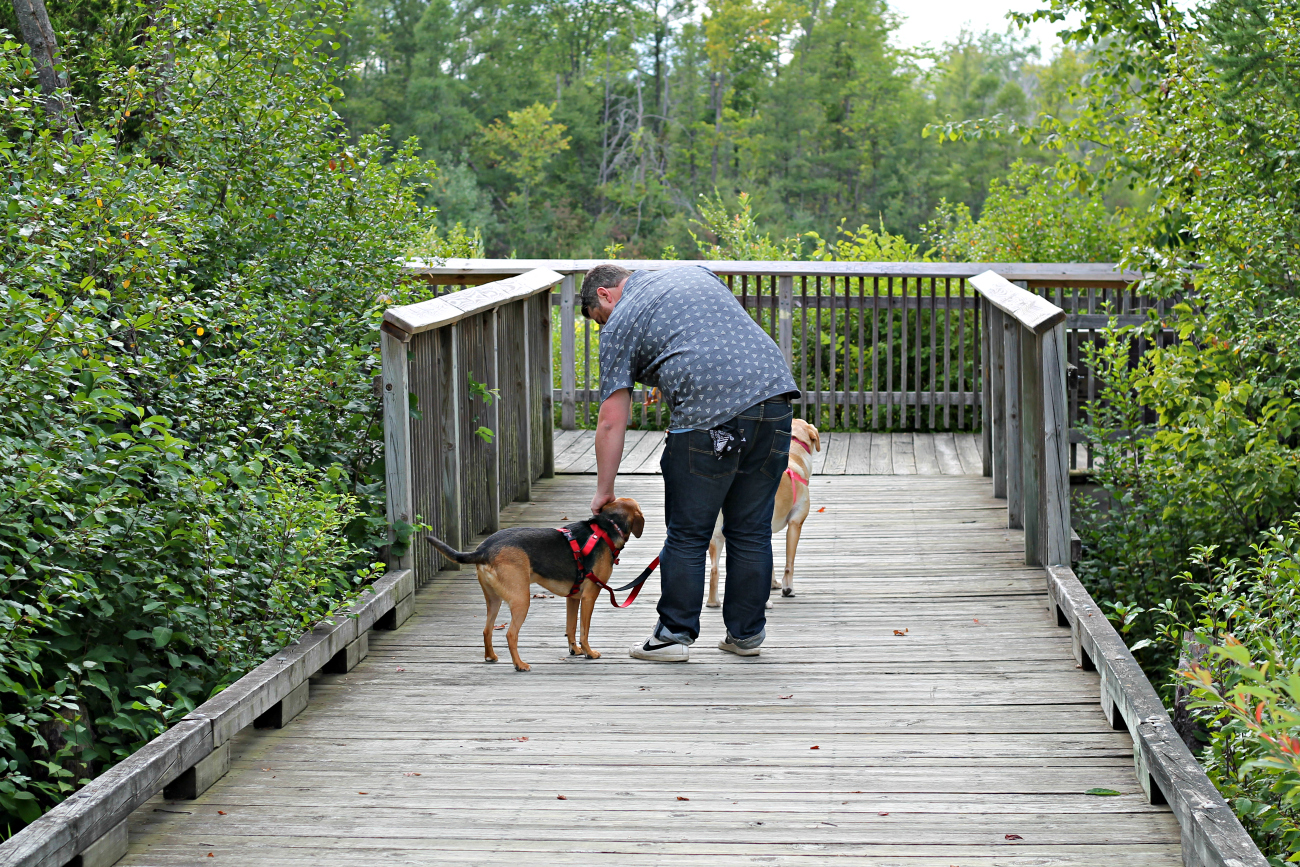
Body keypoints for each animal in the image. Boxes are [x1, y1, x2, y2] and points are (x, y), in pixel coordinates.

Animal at [426, 499, 644, 675]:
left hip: (494, 600)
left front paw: (575, 650)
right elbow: (584, 631)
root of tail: (484, 550)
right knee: (510, 634)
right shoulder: (589, 596)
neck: (607, 527)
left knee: (487, 630)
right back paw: (520, 665)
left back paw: (491, 657)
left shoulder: (573, 598)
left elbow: (571, 627)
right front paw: (589, 652)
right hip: (522, 600)